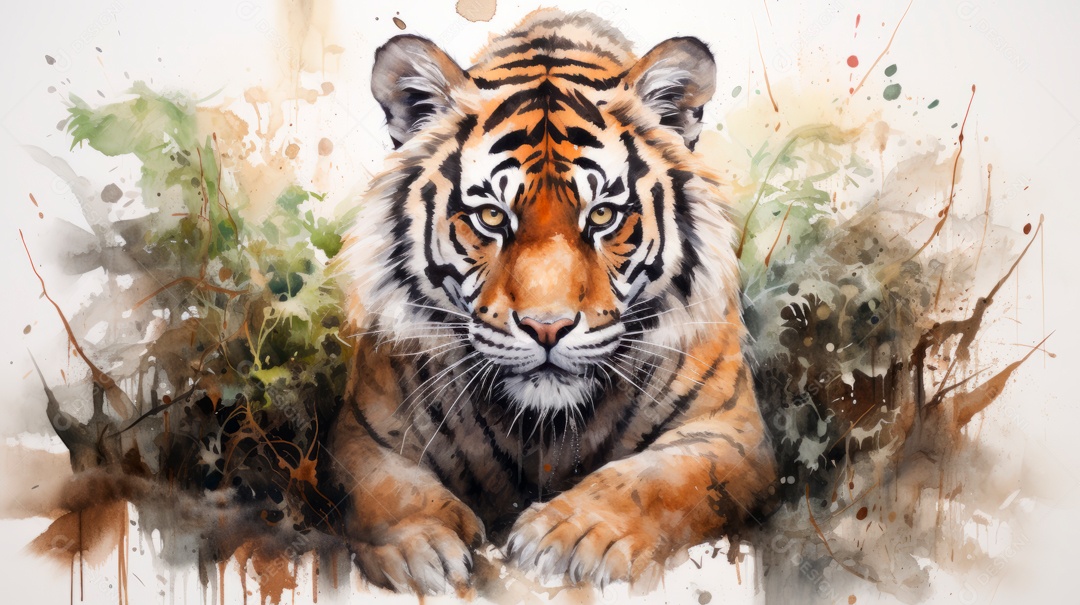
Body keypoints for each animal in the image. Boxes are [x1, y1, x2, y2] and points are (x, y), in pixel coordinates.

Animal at [329, 8, 776, 595]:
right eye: (491, 216)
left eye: (603, 215)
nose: (547, 328)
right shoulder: (364, 433)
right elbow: (385, 490)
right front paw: (422, 545)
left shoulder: (730, 432)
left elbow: (655, 478)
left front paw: (570, 536)